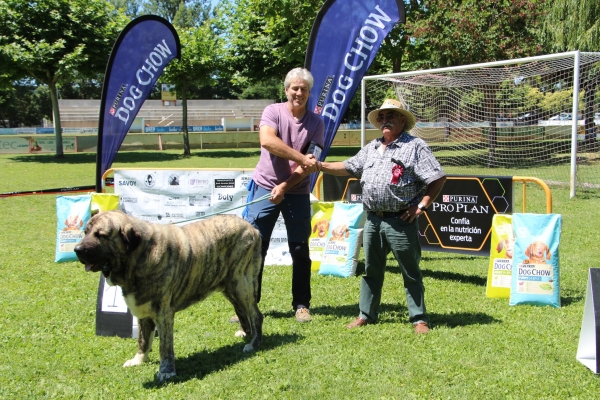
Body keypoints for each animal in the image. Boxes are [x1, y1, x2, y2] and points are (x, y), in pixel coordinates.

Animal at [73, 209, 262, 382]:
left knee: (256, 315)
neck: (138, 257)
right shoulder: (143, 311)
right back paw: (245, 333)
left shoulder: (163, 314)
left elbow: (164, 346)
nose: (77, 249)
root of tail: (252, 229)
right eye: (86, 232)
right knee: (242, 311)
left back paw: (253, 343)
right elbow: (143, 339)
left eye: (101, 235)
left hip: (241, 284)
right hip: (230, 287)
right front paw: (138, 360)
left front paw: (166, 371)